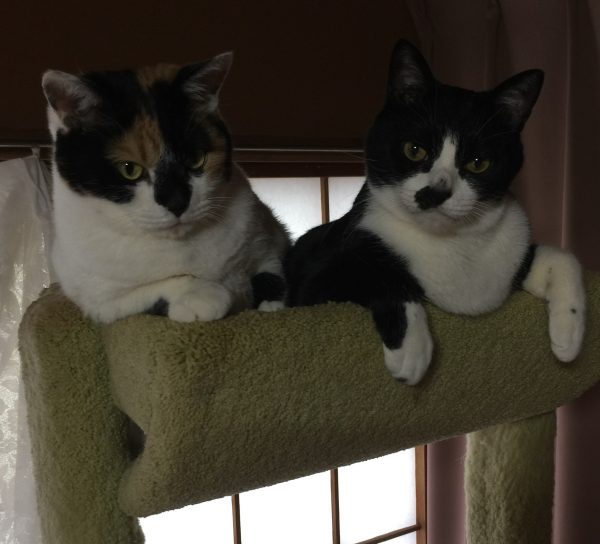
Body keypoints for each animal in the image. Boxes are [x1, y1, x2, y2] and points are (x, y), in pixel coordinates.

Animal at [42, 52, 289, 324]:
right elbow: (153, 290)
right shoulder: (99, 301)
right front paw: (202, 295)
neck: (179, 245)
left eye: (195, 159)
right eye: (129, 169)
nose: (177, 201)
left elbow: (272, 278)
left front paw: (269, 309)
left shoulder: (269, 241)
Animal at [286, 40, 586, 385]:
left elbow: (562, 256)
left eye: (478, 163)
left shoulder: (514, 254)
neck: (452, 243)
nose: (436, 193)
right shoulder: (316, 283)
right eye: (414, 150)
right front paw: (412, 349)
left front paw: (569, 334)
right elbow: (382, 275)